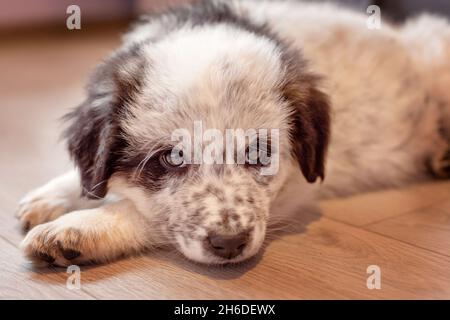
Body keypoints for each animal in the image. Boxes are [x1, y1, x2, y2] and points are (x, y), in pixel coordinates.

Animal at [16, 0, 450, 266]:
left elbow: (144, 212)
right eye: (170, 157)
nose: (229, 245)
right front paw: (55, 195)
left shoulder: (294, 190)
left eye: (259, 154)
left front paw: (77, 229)